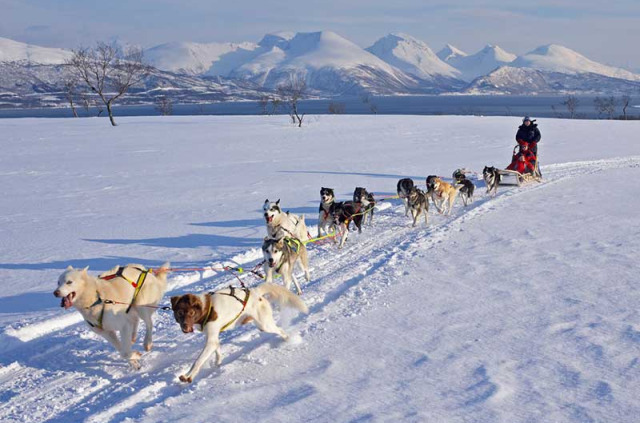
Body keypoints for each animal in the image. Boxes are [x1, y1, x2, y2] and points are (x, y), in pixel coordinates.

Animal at [171, 284, 308, 384]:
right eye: (179, 313)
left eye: (191, 313)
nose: (185, 327)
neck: (206, 308)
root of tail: (255, 292)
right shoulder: (212, 338)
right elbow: (217, 350)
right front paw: (218, 364)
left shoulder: (211, 340)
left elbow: (198, 361)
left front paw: (189, 376)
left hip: (264, 325)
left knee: (280, 330)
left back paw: (289, 339)